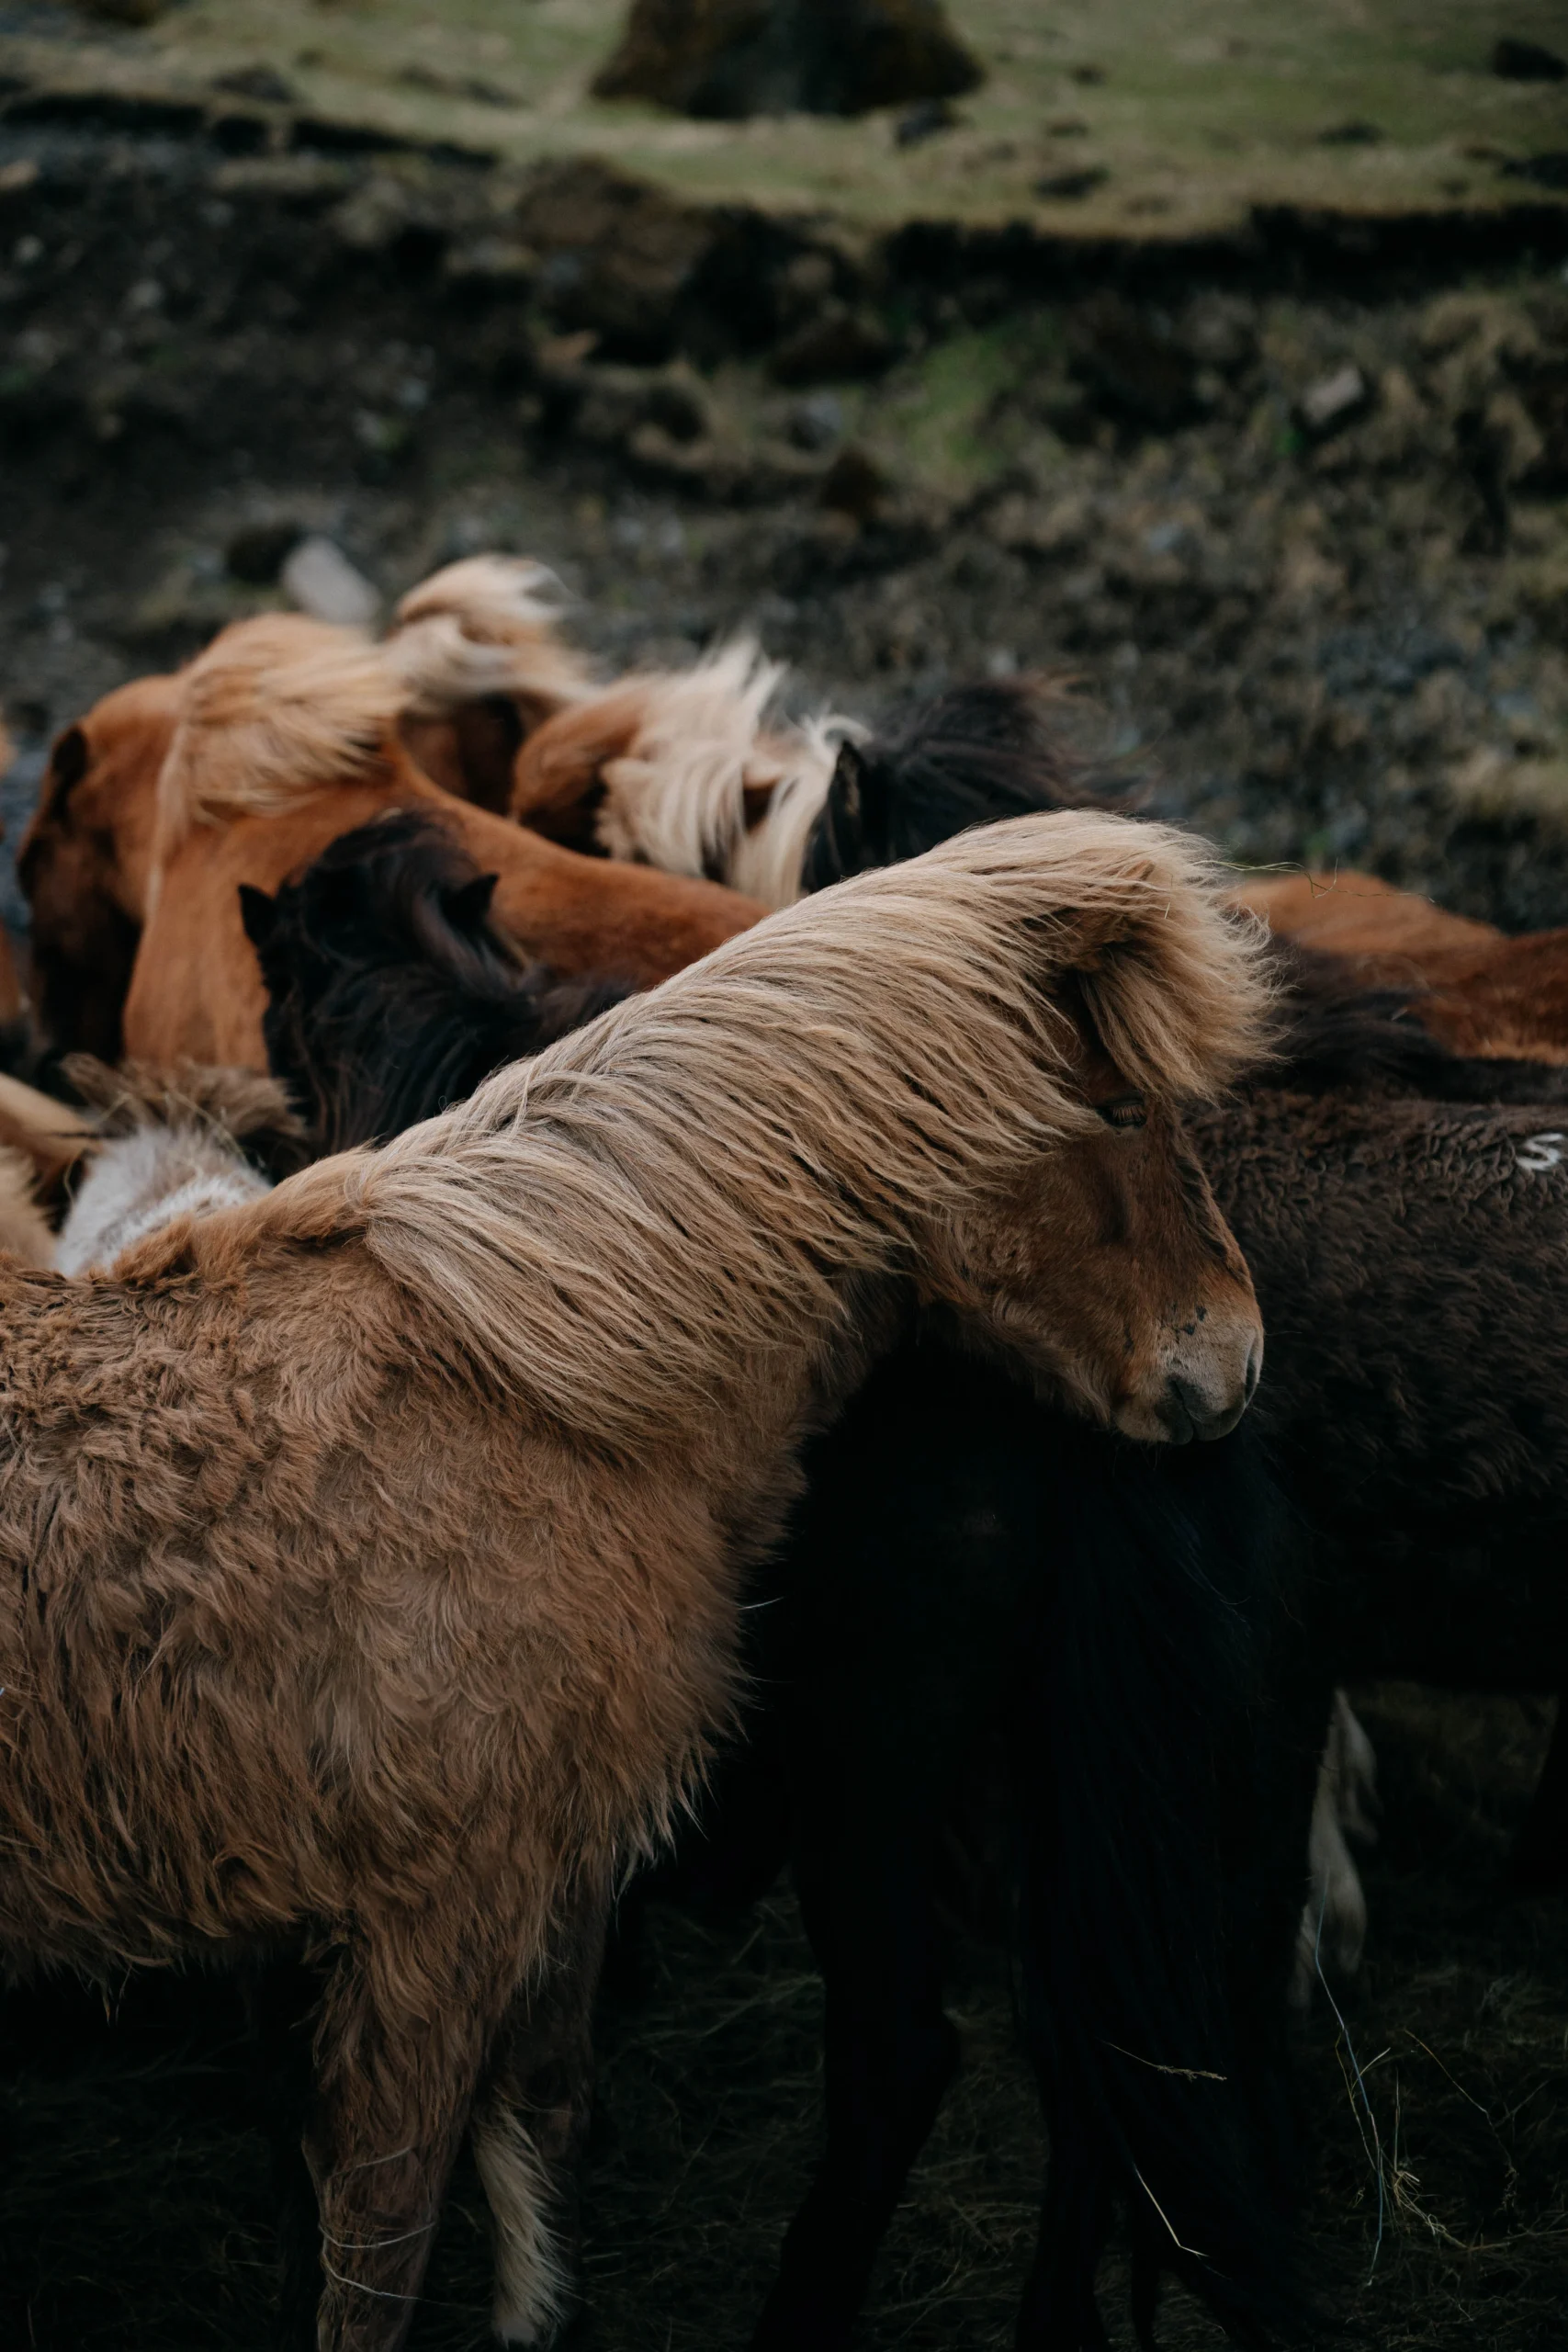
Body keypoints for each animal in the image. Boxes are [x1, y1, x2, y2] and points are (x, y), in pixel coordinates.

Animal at [0, 813, 1272, 2352]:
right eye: (1122, 1108)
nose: (1230, 1358)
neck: (531, 1381)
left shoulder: (544, 1890)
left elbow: (526, 2159)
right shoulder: (443, 1921)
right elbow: (386, 2236)